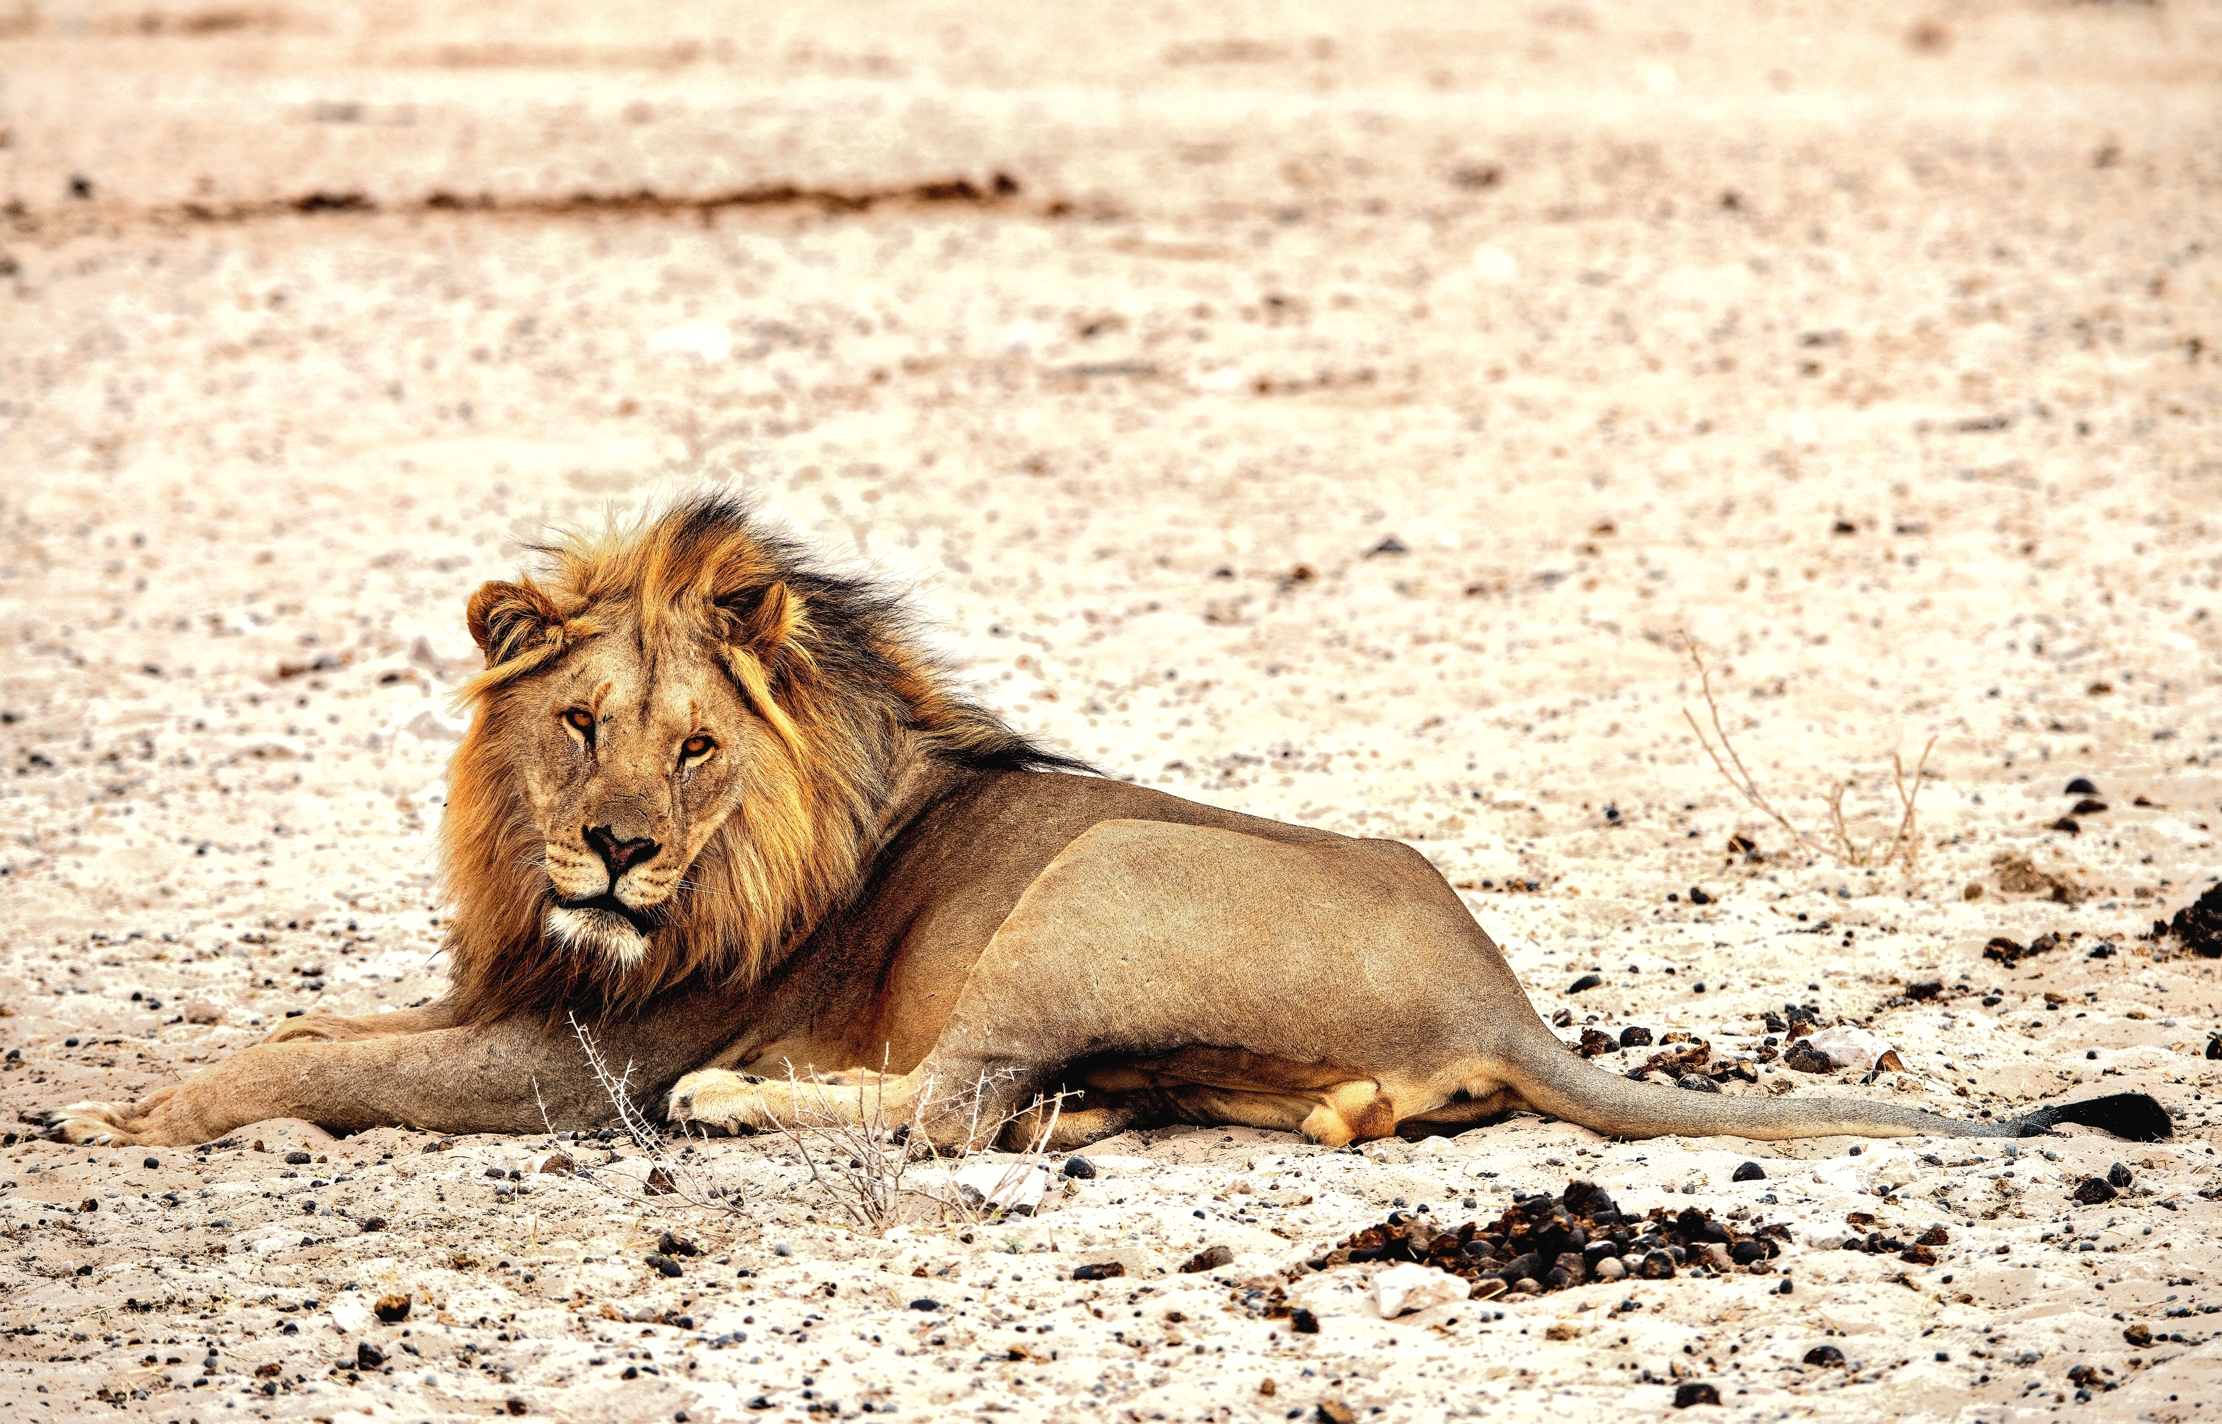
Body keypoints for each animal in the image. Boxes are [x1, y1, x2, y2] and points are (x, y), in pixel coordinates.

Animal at [47, 494, 2169, 1152]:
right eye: (580, 728)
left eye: (694, 748)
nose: (622, 852)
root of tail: (1496, 995)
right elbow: (322, 1022)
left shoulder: (589, 1052)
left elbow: (319, 1059)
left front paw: (138, 1113)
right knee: (1026, 1107)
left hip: (1093, 882)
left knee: (946, 1108)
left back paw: (751, 1099)